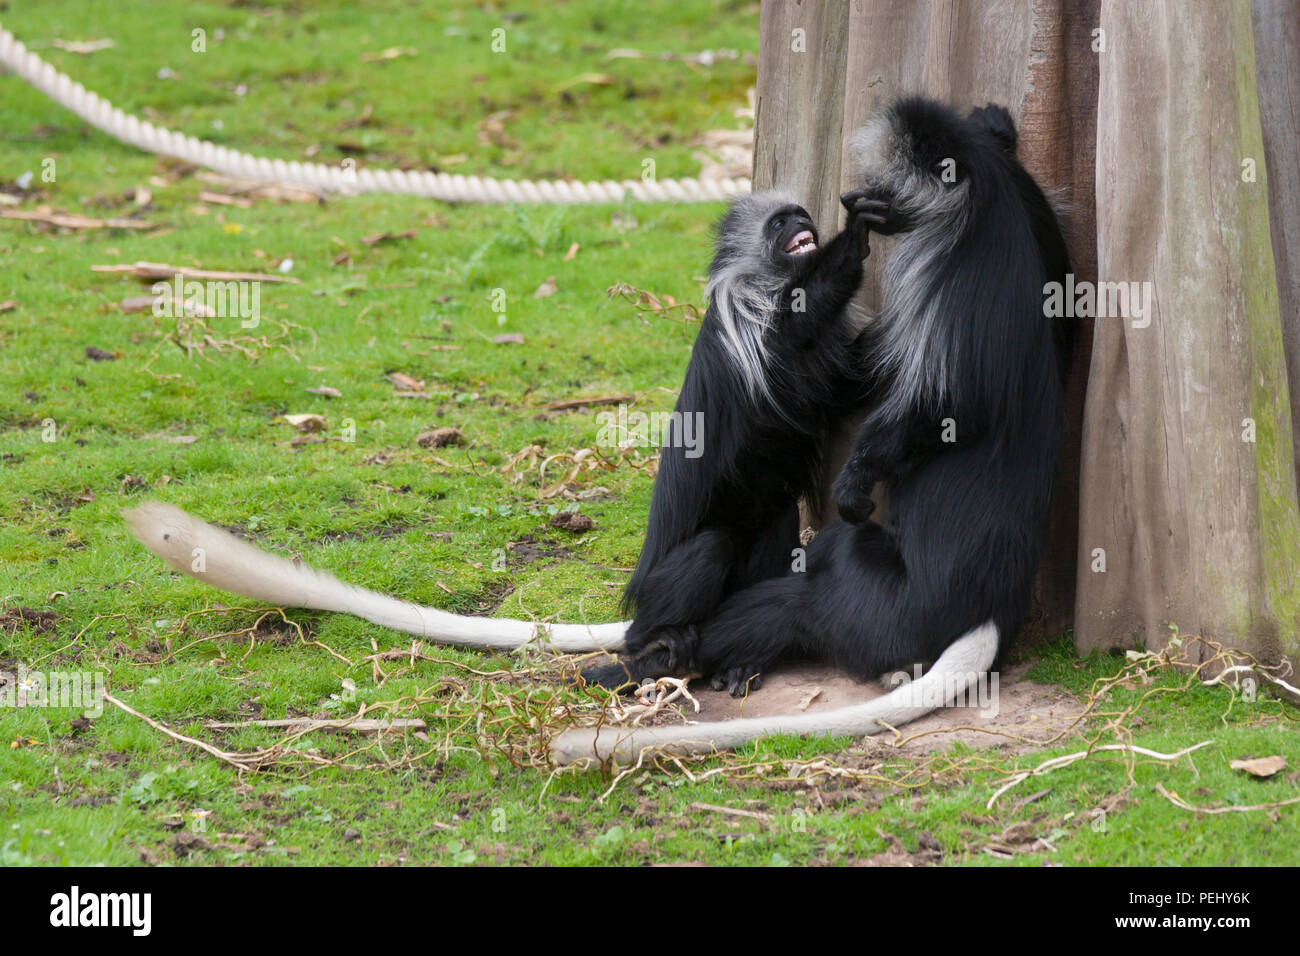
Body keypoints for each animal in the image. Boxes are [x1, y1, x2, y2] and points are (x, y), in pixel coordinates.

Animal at [548, 97, 1066, 764]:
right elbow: (820, 343)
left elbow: (910, 393)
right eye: (779, 226)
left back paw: (702, 663)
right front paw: (853, 240)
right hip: (682, 585)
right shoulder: (749, 312)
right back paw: (655, 652)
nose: (806, 216)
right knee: (714, 557)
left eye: (796, 218)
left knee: (788, 552)